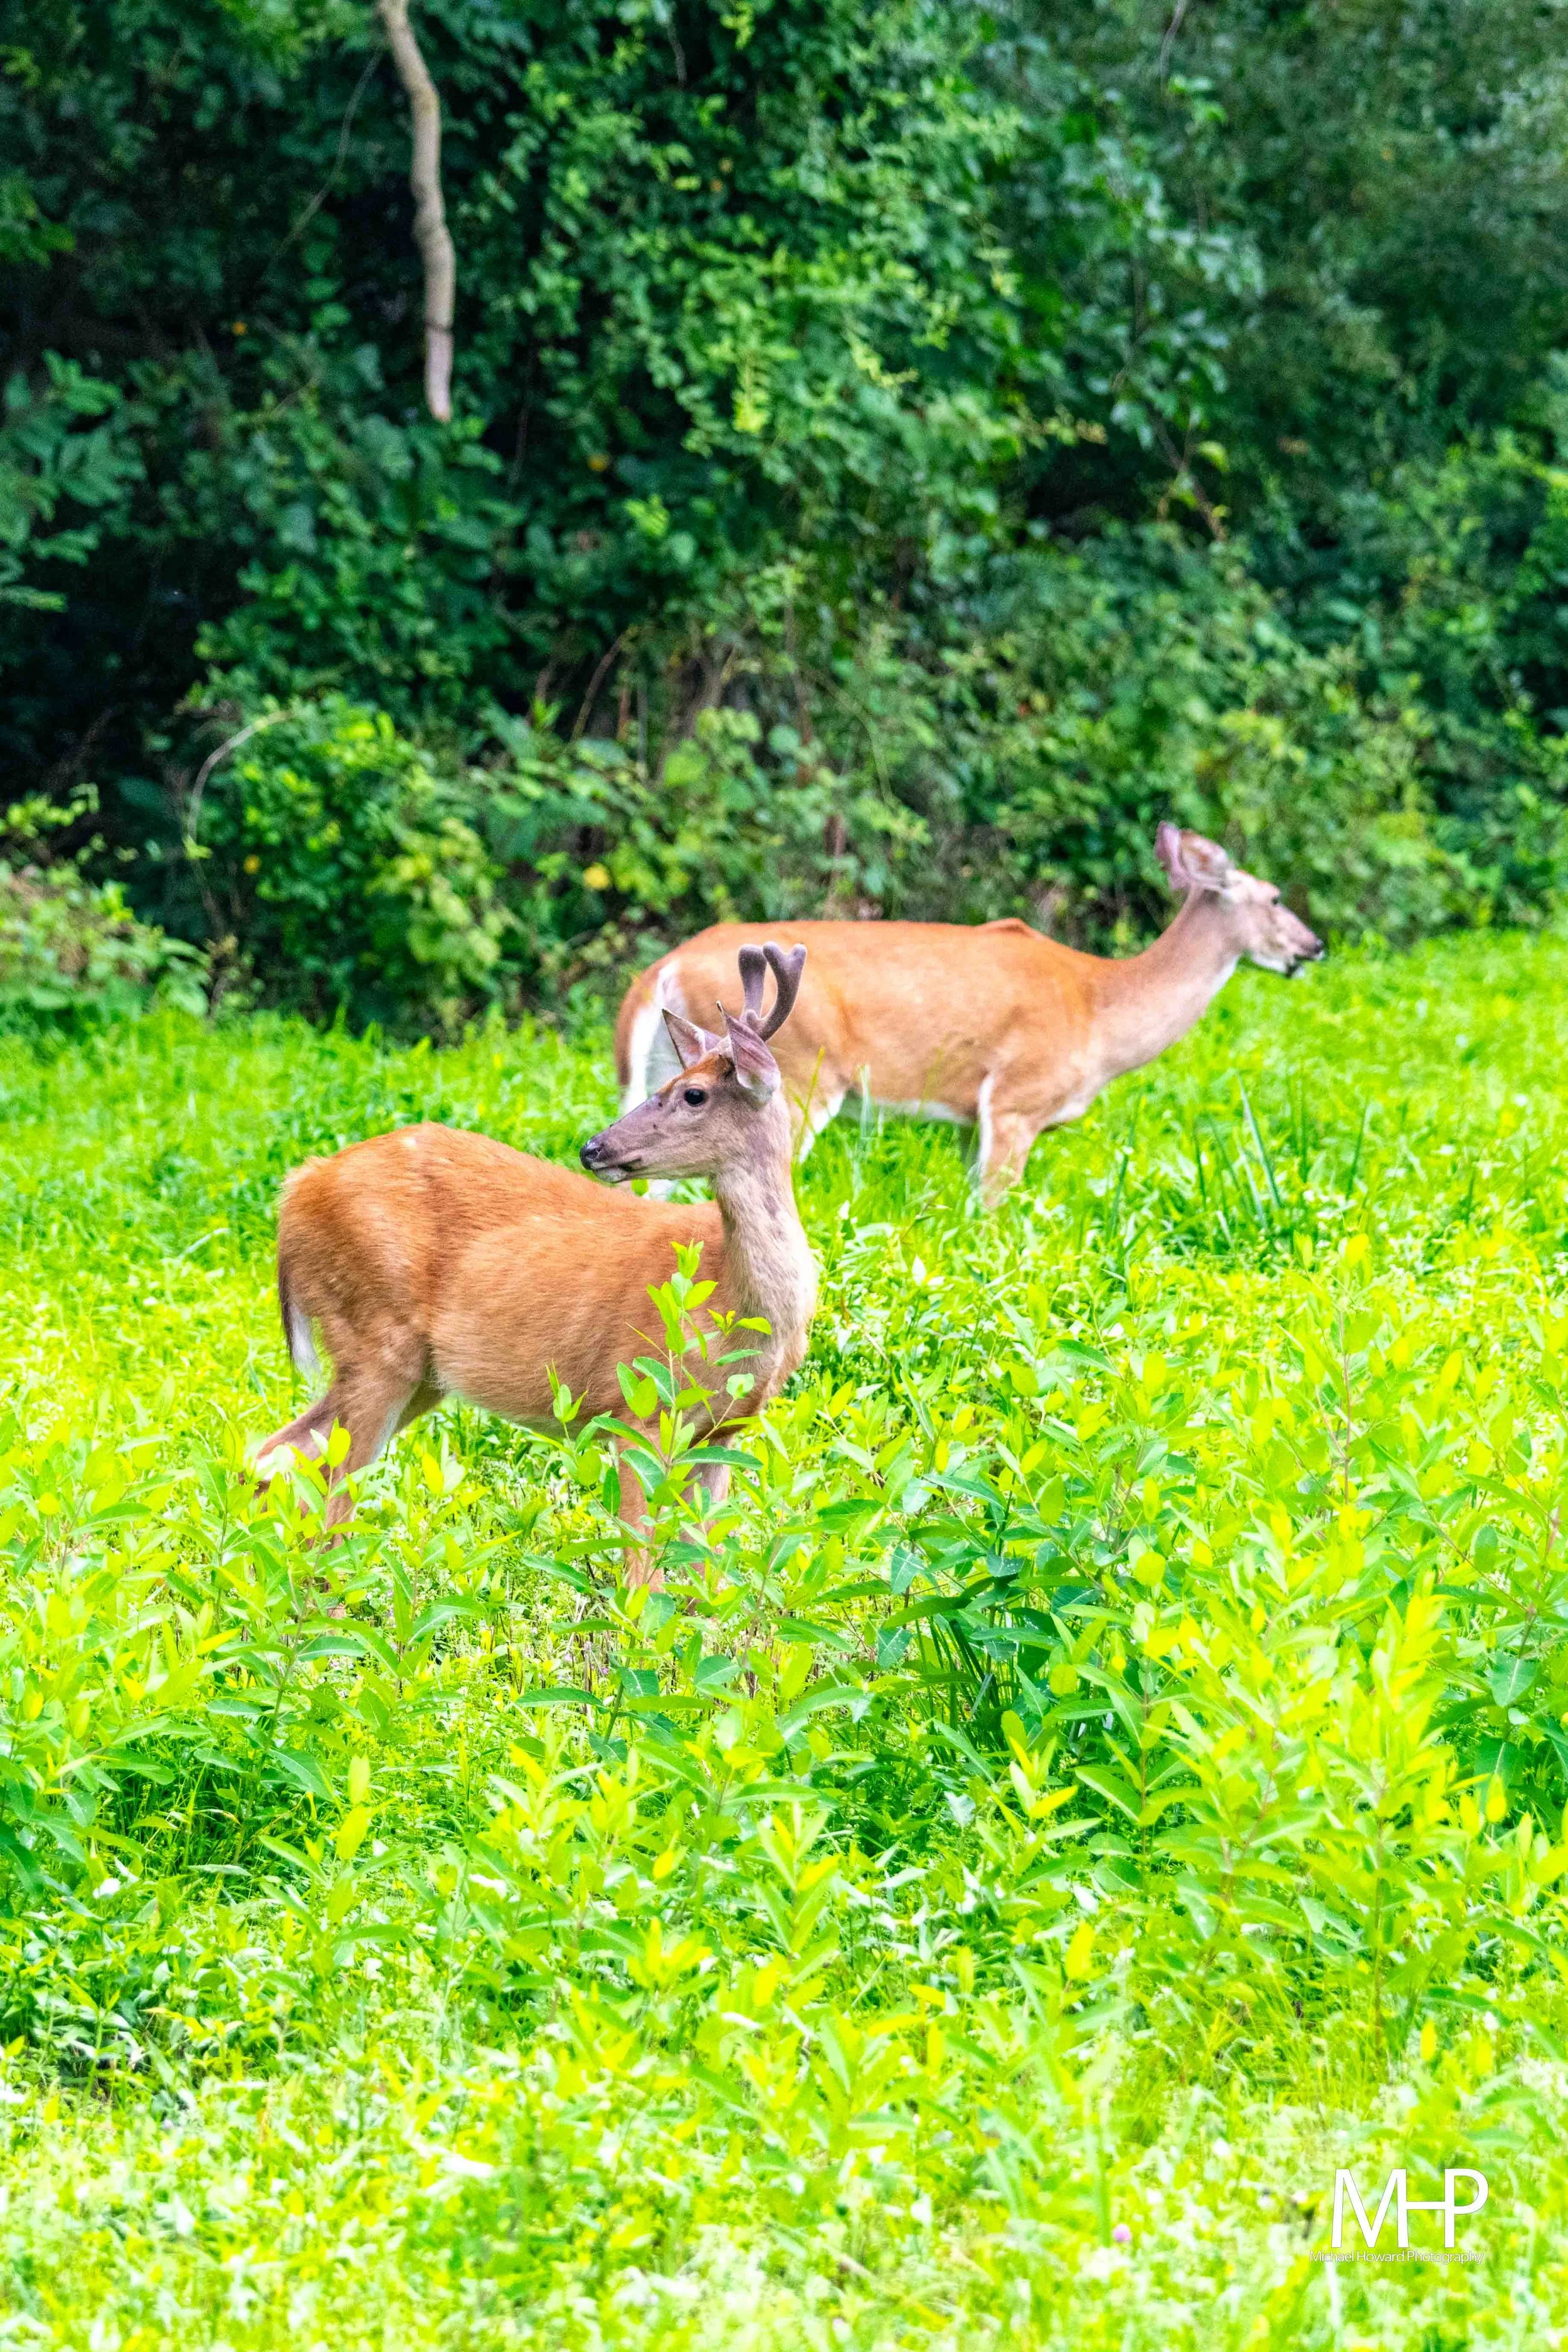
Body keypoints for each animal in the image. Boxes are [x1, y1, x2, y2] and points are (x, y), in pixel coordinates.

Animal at [255, 943, 816, 1580]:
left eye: (693, 1094)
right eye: (673, 1081)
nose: (594, 1148)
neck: (735, 1305)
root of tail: (297, 1190)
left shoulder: (729, 1429)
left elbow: (708, 1568)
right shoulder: (638, 1403)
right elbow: (641, 1566)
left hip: (419, 1374)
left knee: (280, 1453)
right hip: (373, 1334)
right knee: (331, 1487)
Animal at [616, 825, 1323, 1207]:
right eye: (1274, 897)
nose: (1314, 947)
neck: (1098, 1007)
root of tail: (664, 968)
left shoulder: (967, 1121)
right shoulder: (1015, 1100)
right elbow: (993, 1215)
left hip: (659, 1075)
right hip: (794, 1082)